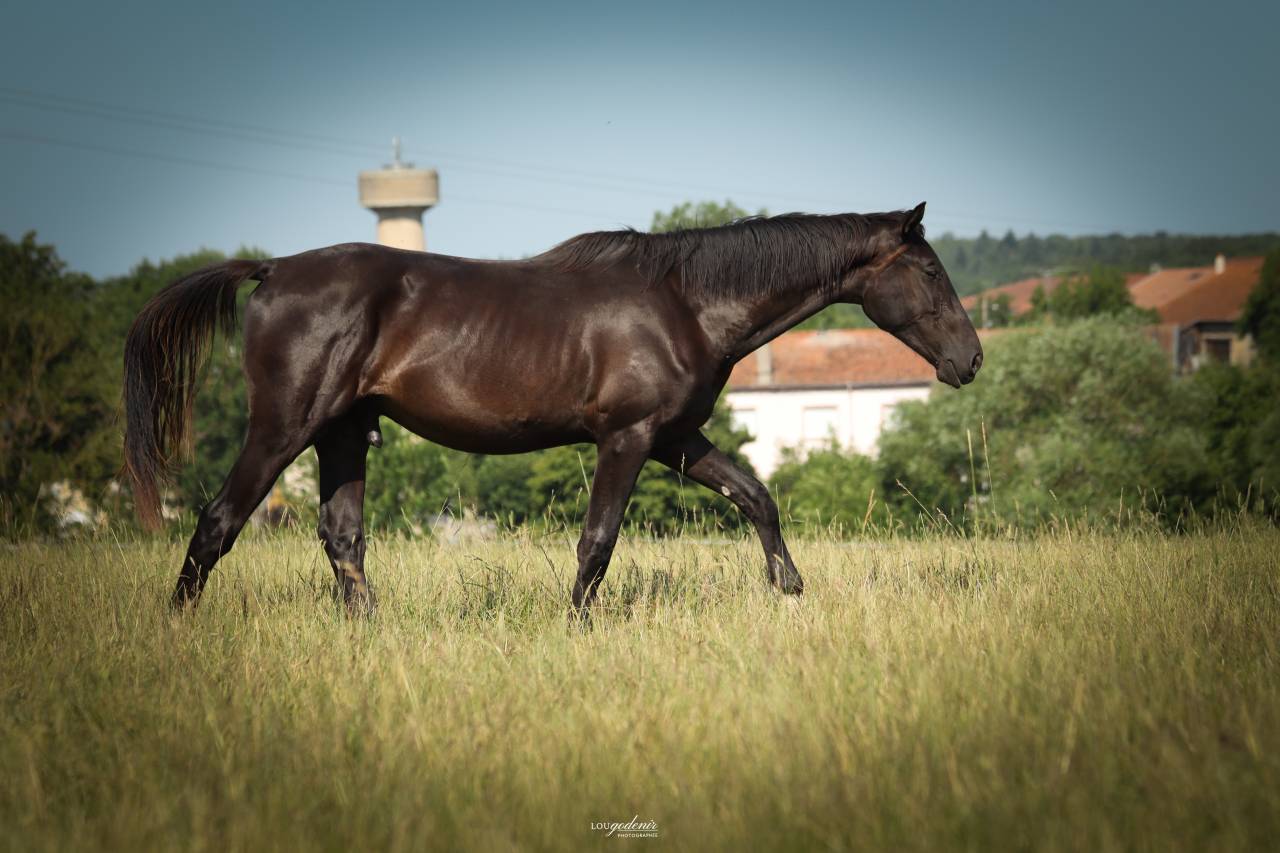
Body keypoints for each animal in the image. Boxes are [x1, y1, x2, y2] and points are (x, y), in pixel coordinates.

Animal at [123, 202, 982, 617]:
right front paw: (578, 625)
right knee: (217, 523)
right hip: (284, 427)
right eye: (930, 272)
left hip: (344, 434)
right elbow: (598, 541)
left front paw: (789, 587)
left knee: (342, 540)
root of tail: (270, 270)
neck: (685, 301)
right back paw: (177, 627)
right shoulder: (627, 437)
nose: (970, 359)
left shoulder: (674, 436)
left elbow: (755, 495)